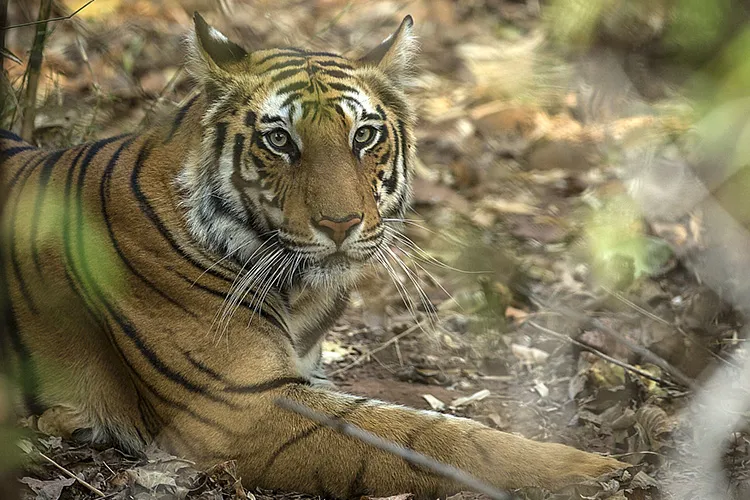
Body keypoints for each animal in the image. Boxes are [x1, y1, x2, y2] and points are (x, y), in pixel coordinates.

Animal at [0, 13, 624, 498]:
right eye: (279, 140)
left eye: (364, 135)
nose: (340, 223)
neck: (300, 294)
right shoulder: (240, 407)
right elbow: (423, 437)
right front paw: (586, 467)